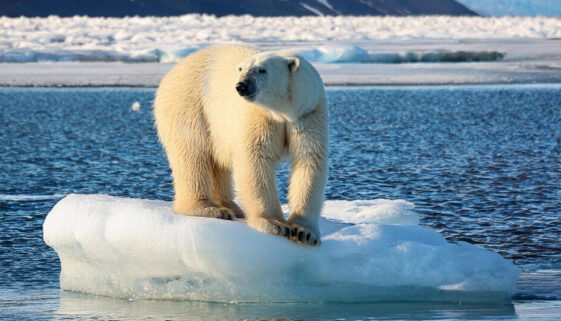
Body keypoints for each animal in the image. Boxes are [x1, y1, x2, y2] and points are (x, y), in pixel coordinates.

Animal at [153, 45, 328, 245]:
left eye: (262, 70)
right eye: (241, 69)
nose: (241, 86)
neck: (283, 112)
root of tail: (171, 72)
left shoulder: (308, 114)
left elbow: (309, 160)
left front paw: (304, 232)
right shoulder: (259, 116)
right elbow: (255, 160)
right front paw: (274, 224)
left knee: (217, 162)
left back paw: (232, 207)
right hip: (189, 105)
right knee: (193, 154)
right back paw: (210, 209)